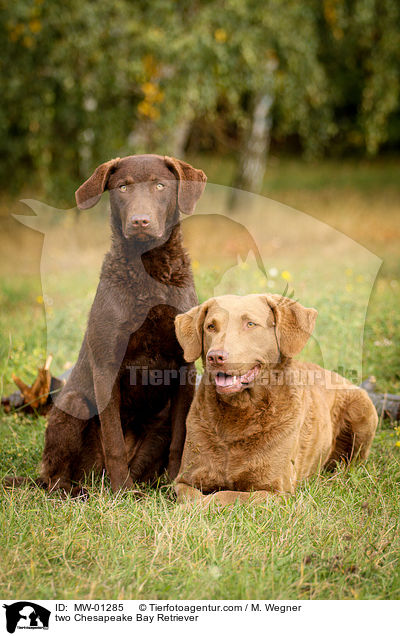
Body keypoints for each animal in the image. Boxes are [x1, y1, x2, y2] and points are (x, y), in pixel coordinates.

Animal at [6, 155, 206, 496]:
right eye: (123, 187)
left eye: (160, 185)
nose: (140, 221)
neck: (147, 271)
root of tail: (92, 479)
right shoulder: (106, 365)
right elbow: (113, 440)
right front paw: (122, 492)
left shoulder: (185, 368)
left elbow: (181, 439)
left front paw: (175, 486)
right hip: (71, 406)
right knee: (56, 479)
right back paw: (84, 493)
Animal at [173, 294, 376, 506]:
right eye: (211, 326)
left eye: (250, 324)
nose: (215, 356)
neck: (239, 413)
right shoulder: (183, 481)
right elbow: (194, 497)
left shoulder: (275, 492)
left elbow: (224, 496)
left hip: (363, 413)